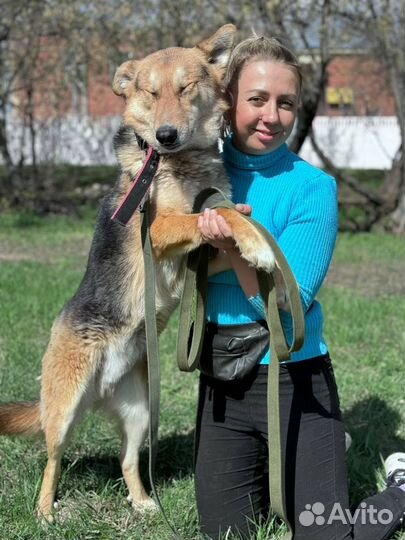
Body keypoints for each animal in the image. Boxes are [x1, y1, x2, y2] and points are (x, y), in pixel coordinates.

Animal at [0, 23, 274, 520]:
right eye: (151, 91)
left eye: (185, 88)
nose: (165, 135)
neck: (178, 162)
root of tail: (101, 390)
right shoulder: (160, 228)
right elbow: (218, 216)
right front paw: (259, 243)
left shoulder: (200, 246)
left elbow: (224, 216)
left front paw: (253, 242)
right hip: (64, 409)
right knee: (52, 460)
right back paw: (46, 512)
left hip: (140, 411)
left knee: (129, 461)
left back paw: (145, 503)